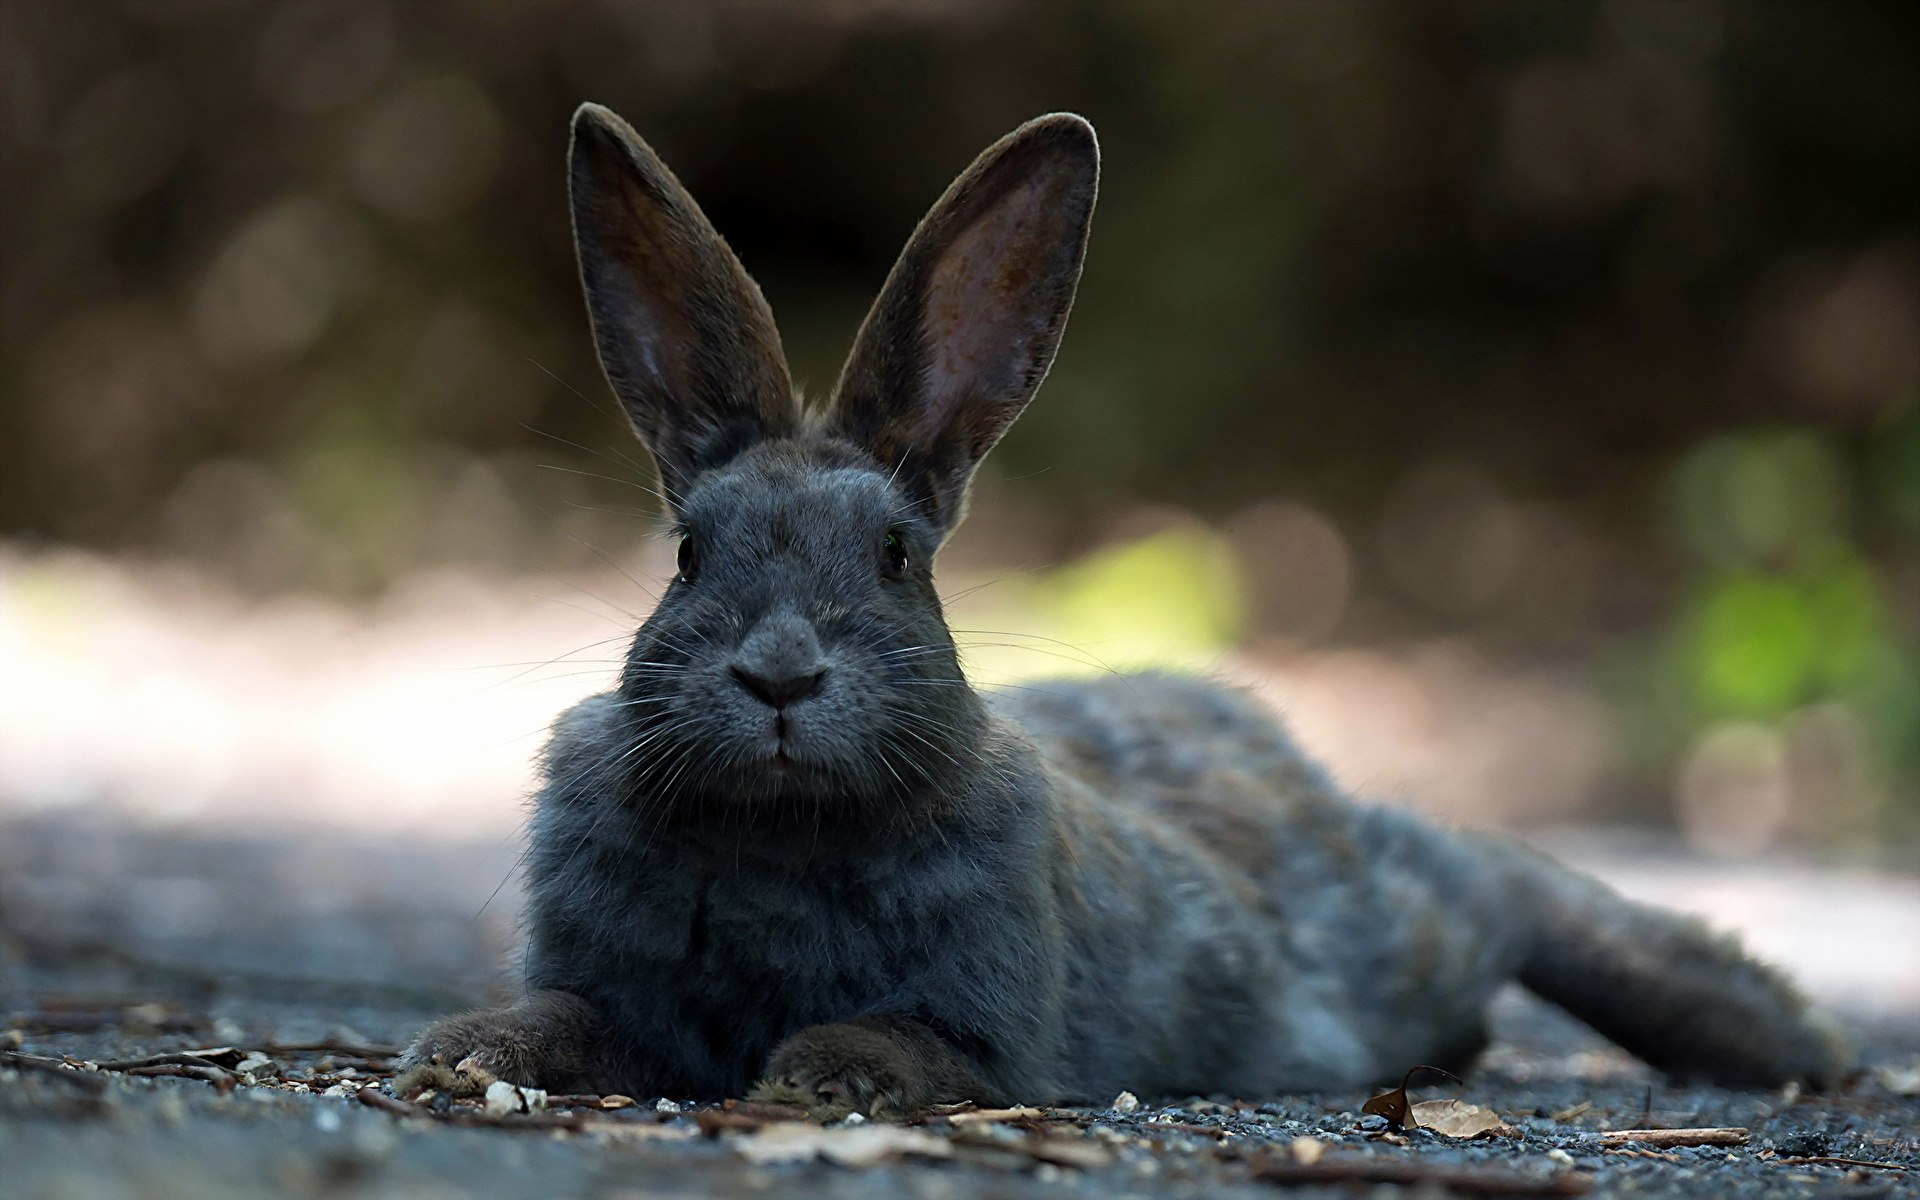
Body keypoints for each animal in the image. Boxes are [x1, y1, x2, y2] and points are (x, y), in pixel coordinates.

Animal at [397, 102, 1850, 1113]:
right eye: (690, 555)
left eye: (895, 557)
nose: (780, 676)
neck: (777, 831)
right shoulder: (615, 992)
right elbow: (569, 1024)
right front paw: (456, 1060)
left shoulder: (991, 1032)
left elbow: (903, 1041)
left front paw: (817, 1078)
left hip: (1402, 929)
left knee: (1503, 885)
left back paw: (1792, 1041)